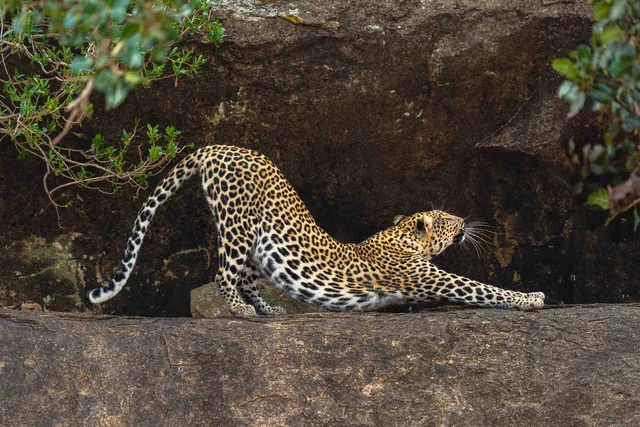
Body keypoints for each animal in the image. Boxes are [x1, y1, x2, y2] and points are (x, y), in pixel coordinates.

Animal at [88, 145, 545, 315]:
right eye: (449, 218)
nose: (465, 223)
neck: (399, 237)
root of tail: (218, 146)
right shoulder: (430, 277)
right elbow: (482, 288)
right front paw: (532, 297)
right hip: (236, 223)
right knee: (223, 274)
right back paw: (239, 311)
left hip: (258, 242)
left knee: (248, 277)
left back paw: (267, 310)